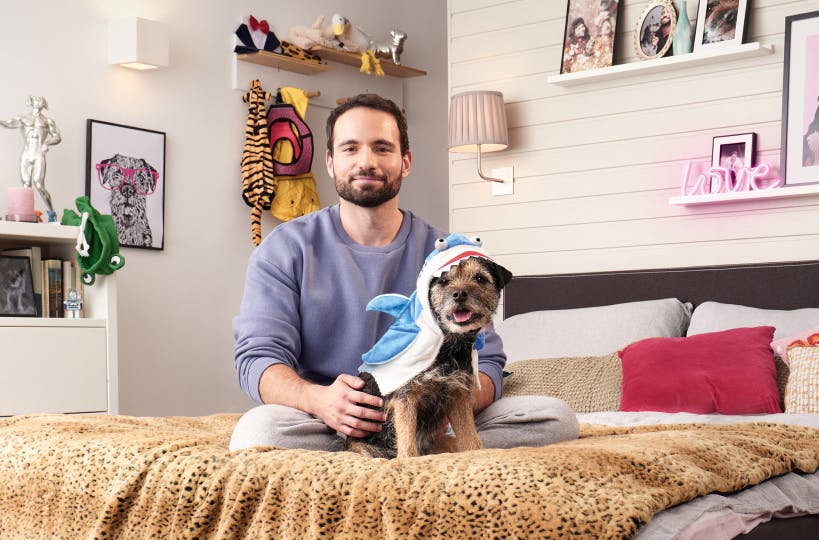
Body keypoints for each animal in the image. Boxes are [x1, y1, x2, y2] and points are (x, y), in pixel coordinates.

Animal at [344, 234, 512, 458]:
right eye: (443, 281)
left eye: (480, 278)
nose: (459, 294)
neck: (448, 347)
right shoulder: (405, 397)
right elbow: (407, 444)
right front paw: (407, 460)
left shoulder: (457, 396)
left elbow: (470, 438)